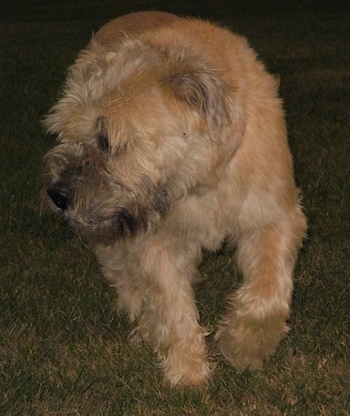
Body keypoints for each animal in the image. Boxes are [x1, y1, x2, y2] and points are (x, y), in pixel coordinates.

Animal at [43, 9, 306, 386]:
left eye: (107, 139)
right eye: (66, 133)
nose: (57, 194)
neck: (201, 182)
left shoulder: (275, 218)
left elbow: (268, 293)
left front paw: (242, 346)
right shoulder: (155, 243)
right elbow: (171, 305)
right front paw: (188, 372)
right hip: (111, 239)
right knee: (128, 284)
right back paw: (145, 327)